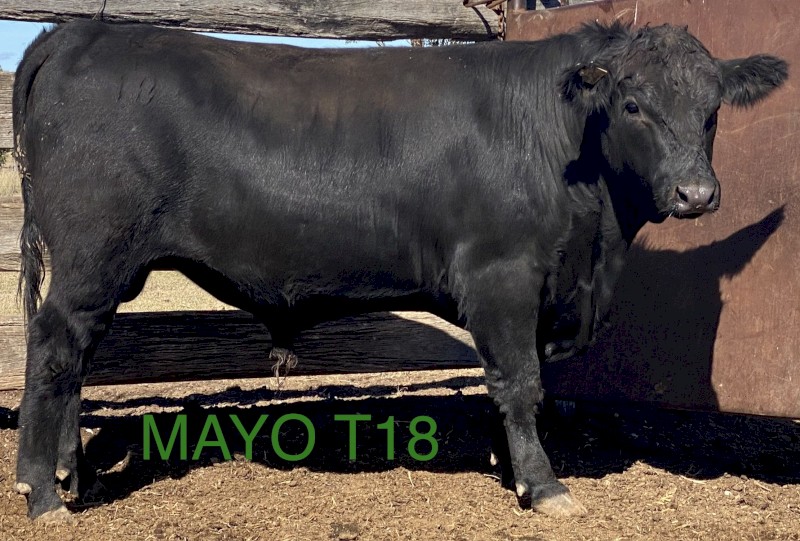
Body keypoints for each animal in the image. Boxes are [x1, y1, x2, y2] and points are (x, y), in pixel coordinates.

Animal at [12, 19, 787, 521]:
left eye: (712, 110)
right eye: (633, 104)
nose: (695, 194)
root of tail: (81, 31)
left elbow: (515, 384)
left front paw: (509, 466)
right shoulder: (503, 275)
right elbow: (520, 382)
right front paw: (543, 487)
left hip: (99, 270)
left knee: (75, 357)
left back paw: (73, 474)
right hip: (92, 257)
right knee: (52, 349)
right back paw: (41, 493)